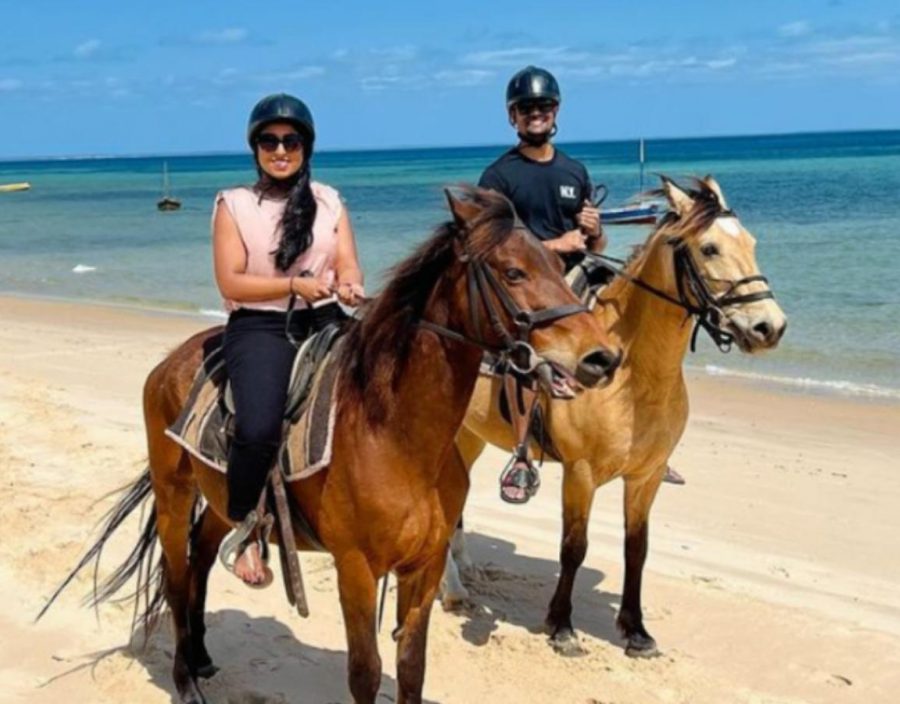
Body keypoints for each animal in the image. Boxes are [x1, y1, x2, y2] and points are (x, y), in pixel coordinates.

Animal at [40, 187, 620, 704]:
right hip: (173, 491)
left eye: (556, 261)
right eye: (513, 272)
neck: (397, 434)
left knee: (201, 557)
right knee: (178, 575)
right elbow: (365, 673)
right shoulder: (356, 568)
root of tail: (170, 362)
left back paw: (202, 659)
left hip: (224, 503)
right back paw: (185, 682)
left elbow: (411, 667)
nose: (602, 357)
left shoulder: (425, 567)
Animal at [442, 176, 787, 658]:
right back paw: (452, 590)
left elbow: (636, 549)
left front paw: (635, 631)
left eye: (751, 242)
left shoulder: (646, 476)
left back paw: (464, 570)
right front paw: (562, 627)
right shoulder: (581, 473)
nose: (769, 327)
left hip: (470, 436)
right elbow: (574, 547)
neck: (635, 374)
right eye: (709, 248)